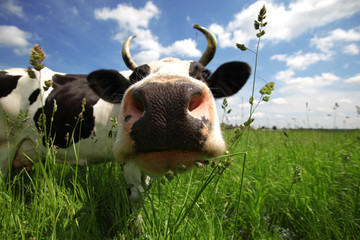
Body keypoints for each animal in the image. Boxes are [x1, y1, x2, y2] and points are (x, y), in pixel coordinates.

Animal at [0, 24, 249, 202]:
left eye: (204, 74)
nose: (167, 101)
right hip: (5, 146)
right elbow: (137, 199)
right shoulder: (128, 164)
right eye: (136, 75)